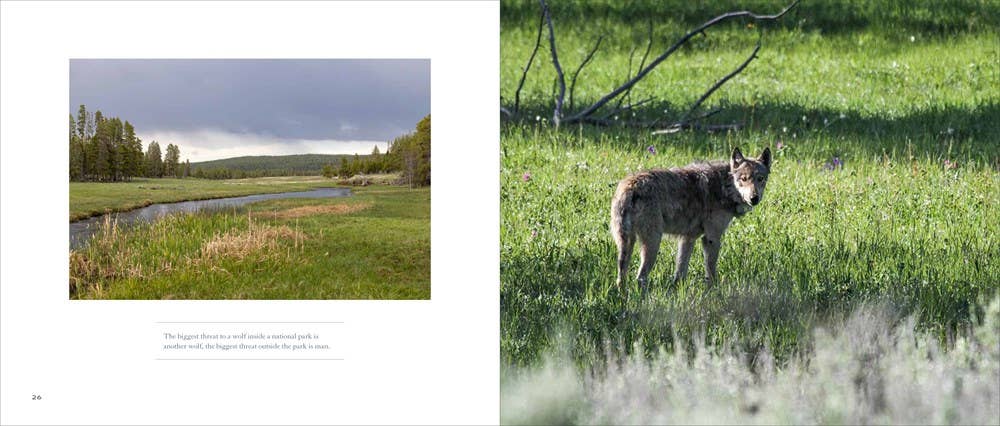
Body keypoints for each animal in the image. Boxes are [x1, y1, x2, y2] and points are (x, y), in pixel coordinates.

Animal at [610, 147, 771, 295]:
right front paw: (714, 292)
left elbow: (680, 272)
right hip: (653, 244)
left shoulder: (688, 238)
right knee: (640, 277)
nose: (754, 198)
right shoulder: (711, 239)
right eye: (744, 179)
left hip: (626, 244)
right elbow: (711, 272)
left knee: (621, 278)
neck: (725, 186)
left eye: (760, 179)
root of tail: (630, 186)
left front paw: (677, 292)